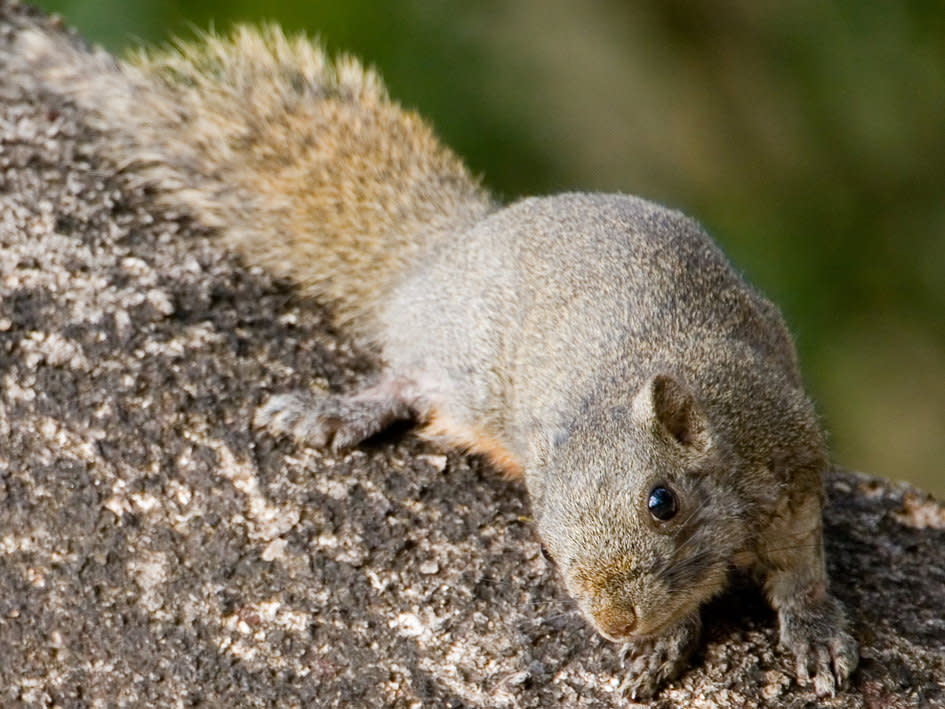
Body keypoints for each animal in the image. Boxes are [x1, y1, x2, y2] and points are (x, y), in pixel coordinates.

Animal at [1, 5, 856, 700]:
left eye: (662, 501)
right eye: (543, 544)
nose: (614, 620)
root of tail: (445, 252)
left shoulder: (788, 468)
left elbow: (801, 567)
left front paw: (815, 630)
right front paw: (660, 640)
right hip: (464, 369)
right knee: (410, 378)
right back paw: (337, 409)